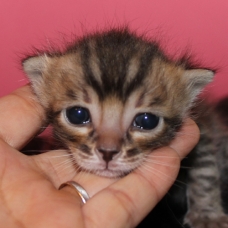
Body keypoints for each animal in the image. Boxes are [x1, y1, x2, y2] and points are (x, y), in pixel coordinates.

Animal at [21, 29, 228, 228]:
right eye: (77, 115)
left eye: (147, 121)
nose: (107, 152)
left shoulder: (202, 129)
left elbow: (205, 171)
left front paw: (207, 215)